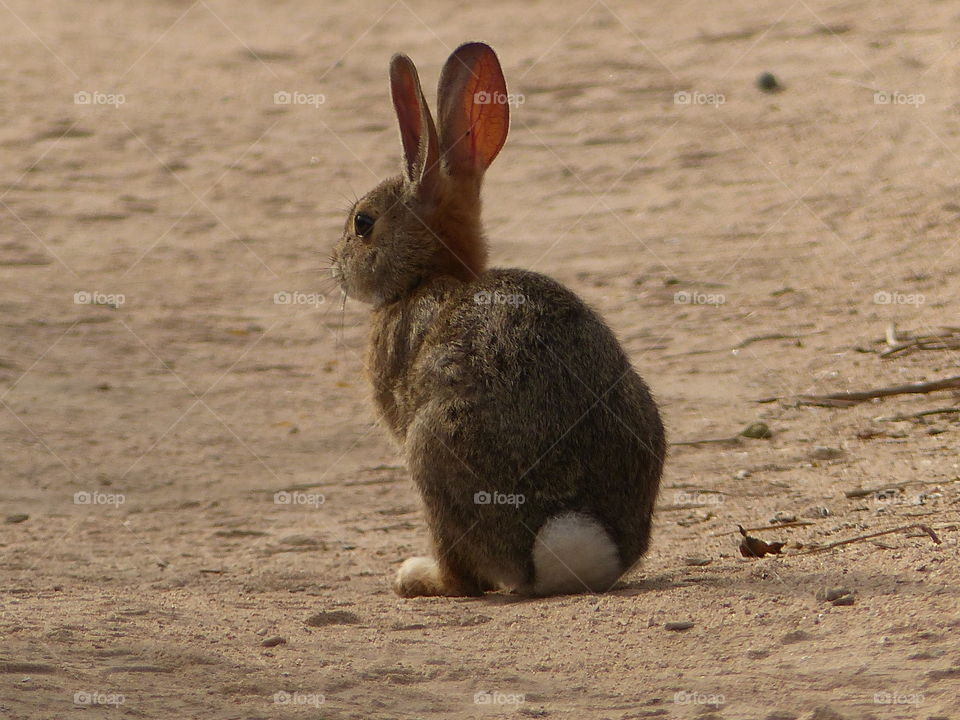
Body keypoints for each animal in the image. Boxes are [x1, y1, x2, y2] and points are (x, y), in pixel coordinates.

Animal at [334, 42, 664, 600]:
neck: (428, 277)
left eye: (363, 223)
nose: (336, 268)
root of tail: (569, 538)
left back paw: (417, 577)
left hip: (430, 453)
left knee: (464, 576)